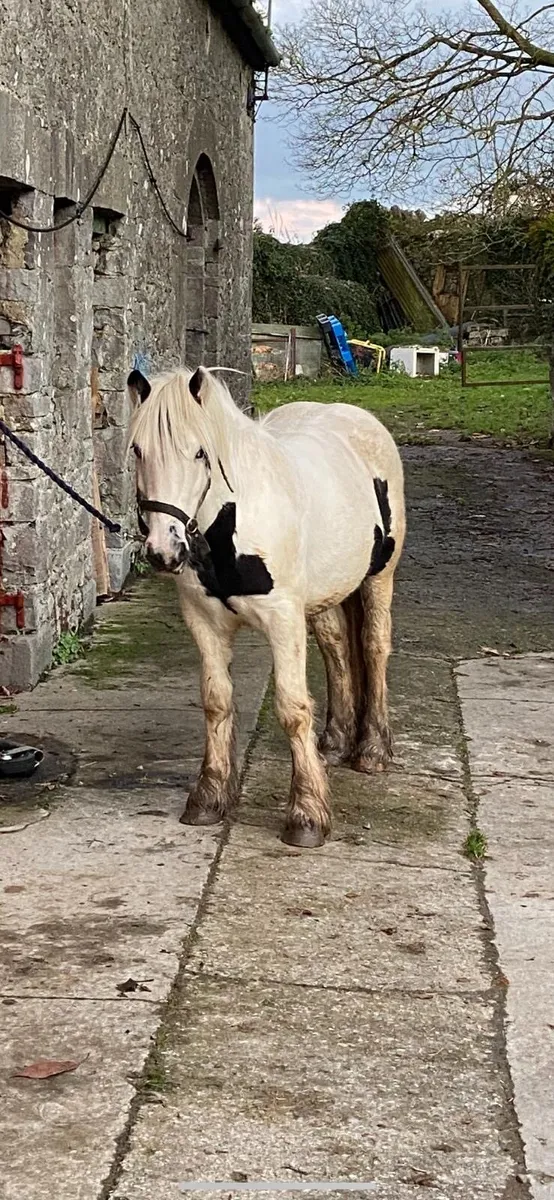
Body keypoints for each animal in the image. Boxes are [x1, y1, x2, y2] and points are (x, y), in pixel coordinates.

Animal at [127, 365, 406, 848]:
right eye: (139, 450)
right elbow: (217, 701)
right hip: (326, 595)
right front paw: (209, 798)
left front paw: (307, 816)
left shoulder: (283, 621)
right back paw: (335, 743)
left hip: (378, 579)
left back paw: (371, 749)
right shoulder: (204, 622)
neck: (233, 527)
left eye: (200, 452)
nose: (163, 551)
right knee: (336, 649)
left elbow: (292, 708)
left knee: (373, 647)